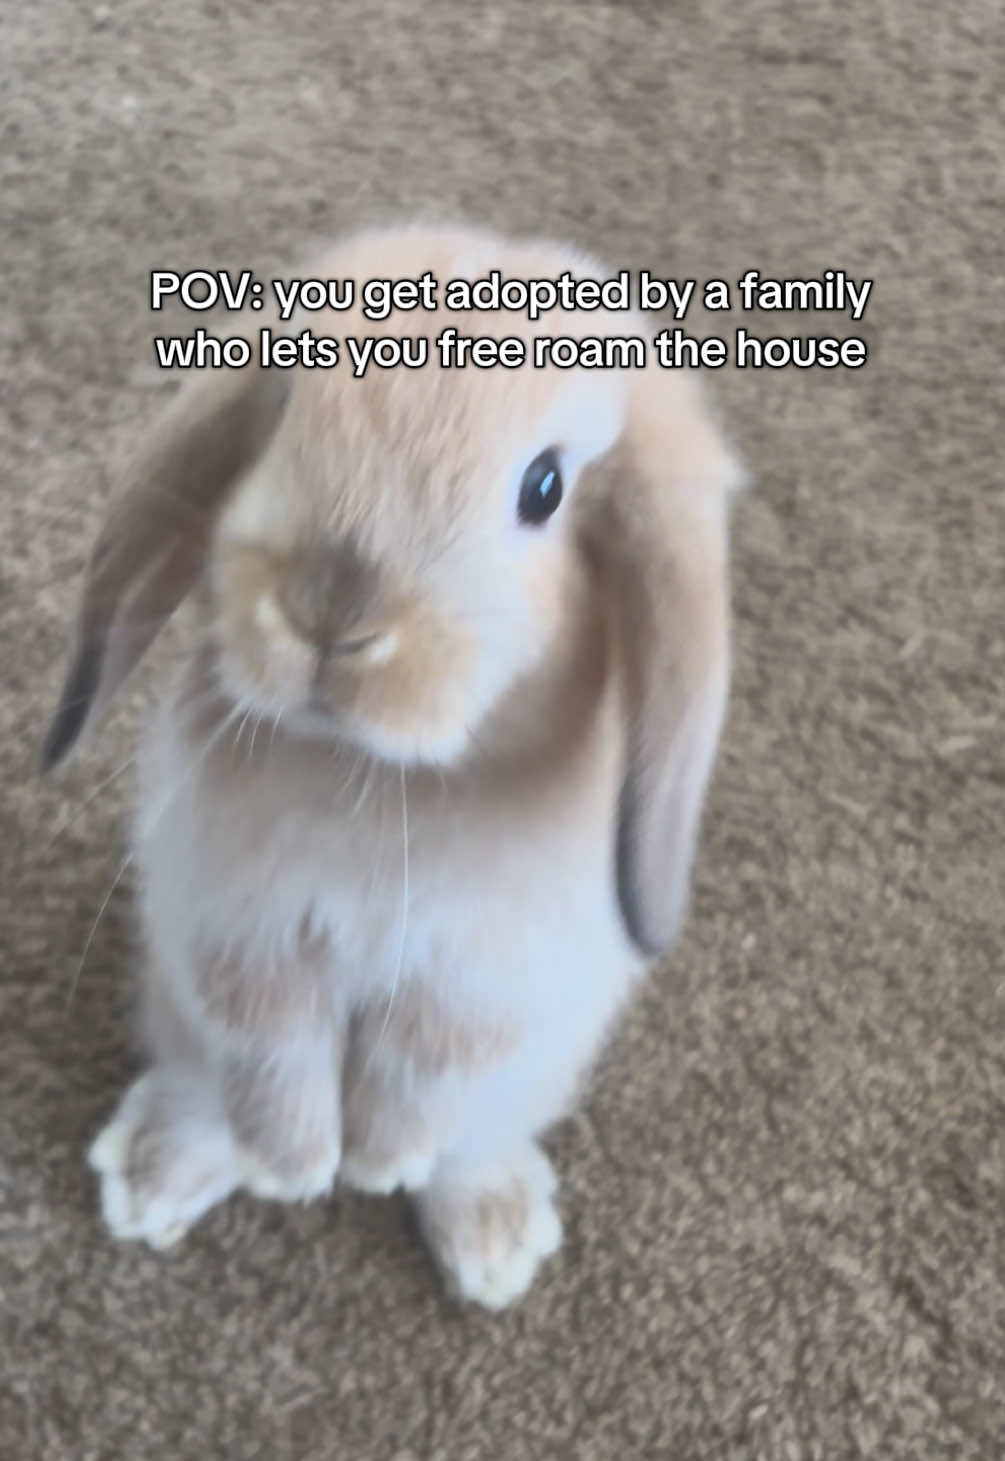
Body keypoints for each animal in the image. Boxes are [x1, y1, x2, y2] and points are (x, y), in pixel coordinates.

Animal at [42, 223, 744, 1309]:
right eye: (284, 407)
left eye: (545, 488)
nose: (328, 613)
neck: (377, 780)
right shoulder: (237, 935)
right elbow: (273, 1054)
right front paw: (295, 1169)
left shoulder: (482, 979)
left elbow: (425, 1066)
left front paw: (375, 1164)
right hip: (173, 1007)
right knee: (204, 1089)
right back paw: (155, 1181)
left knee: (474, 1138)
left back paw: (493, 1242)